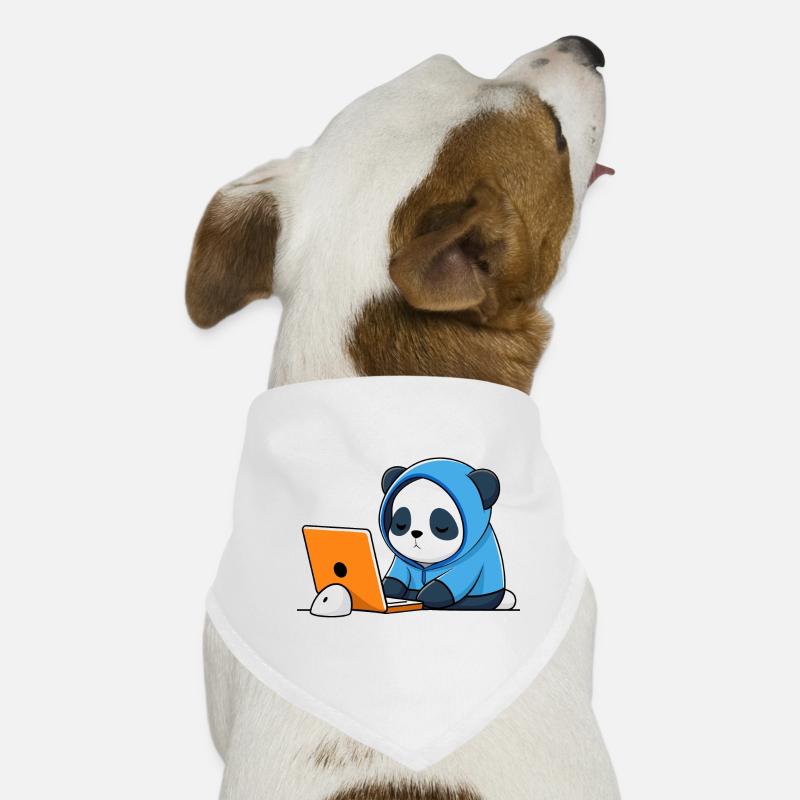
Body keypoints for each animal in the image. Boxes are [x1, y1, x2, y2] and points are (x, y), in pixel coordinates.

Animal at [379, 458, 516, 610]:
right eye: (400, 524)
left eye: (442, 526)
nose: (416, 533)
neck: (425, 566)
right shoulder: (402, 561)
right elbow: (397, 574)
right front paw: (385, 589)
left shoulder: (474, 556)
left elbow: (457, 577)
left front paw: (428, 595)